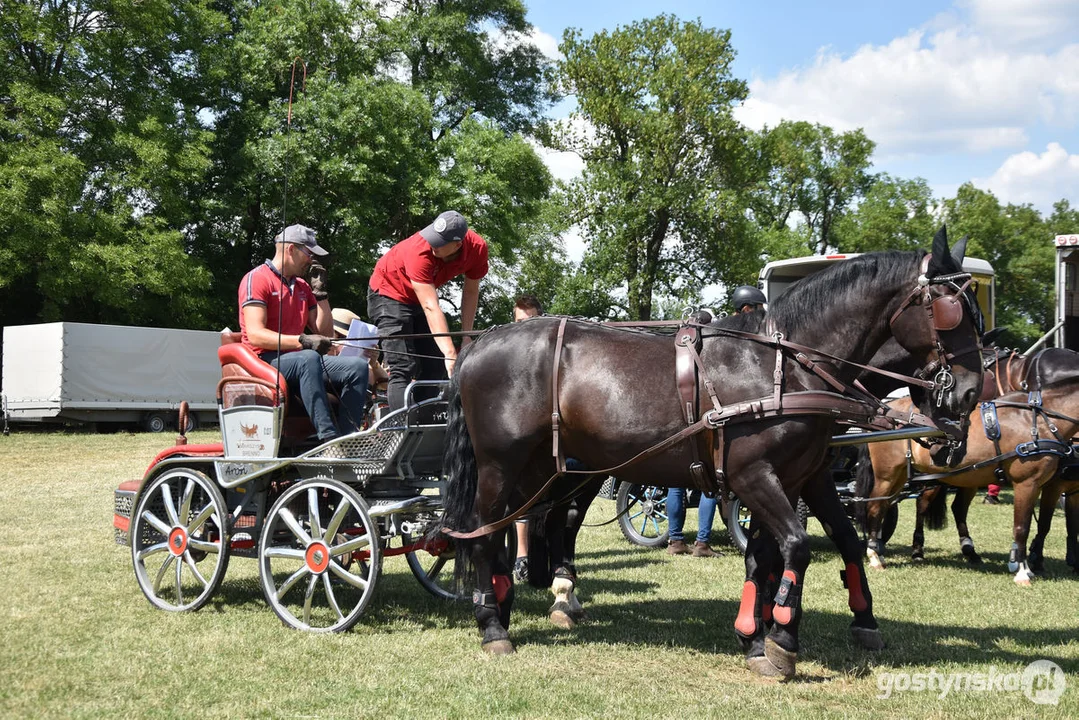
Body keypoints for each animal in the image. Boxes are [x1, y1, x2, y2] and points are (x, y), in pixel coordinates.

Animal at [440, 231, 988, 682]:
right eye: (950, 311)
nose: (968, 393)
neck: (784, 367)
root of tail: (480, 344)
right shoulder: (753, 475)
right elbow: (795, 547)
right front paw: (781, 639)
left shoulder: (802, 477)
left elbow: (797, 550)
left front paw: (763, 632)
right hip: (502, 464)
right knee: (486, 532)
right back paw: (493, 624)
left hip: (545, 468)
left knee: (534, 524)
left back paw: (524, 602)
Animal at [854, 377, 1079, 587]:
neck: (1038, 421)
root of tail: (883, 414)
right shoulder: (1027, 483)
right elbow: (1022, 527)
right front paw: (1022, 571)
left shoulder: (1048, 486)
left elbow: (1048, 525)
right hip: (887, 475)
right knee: (875, 507)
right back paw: (875, 556)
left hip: (903, 475)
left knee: (888, 506)